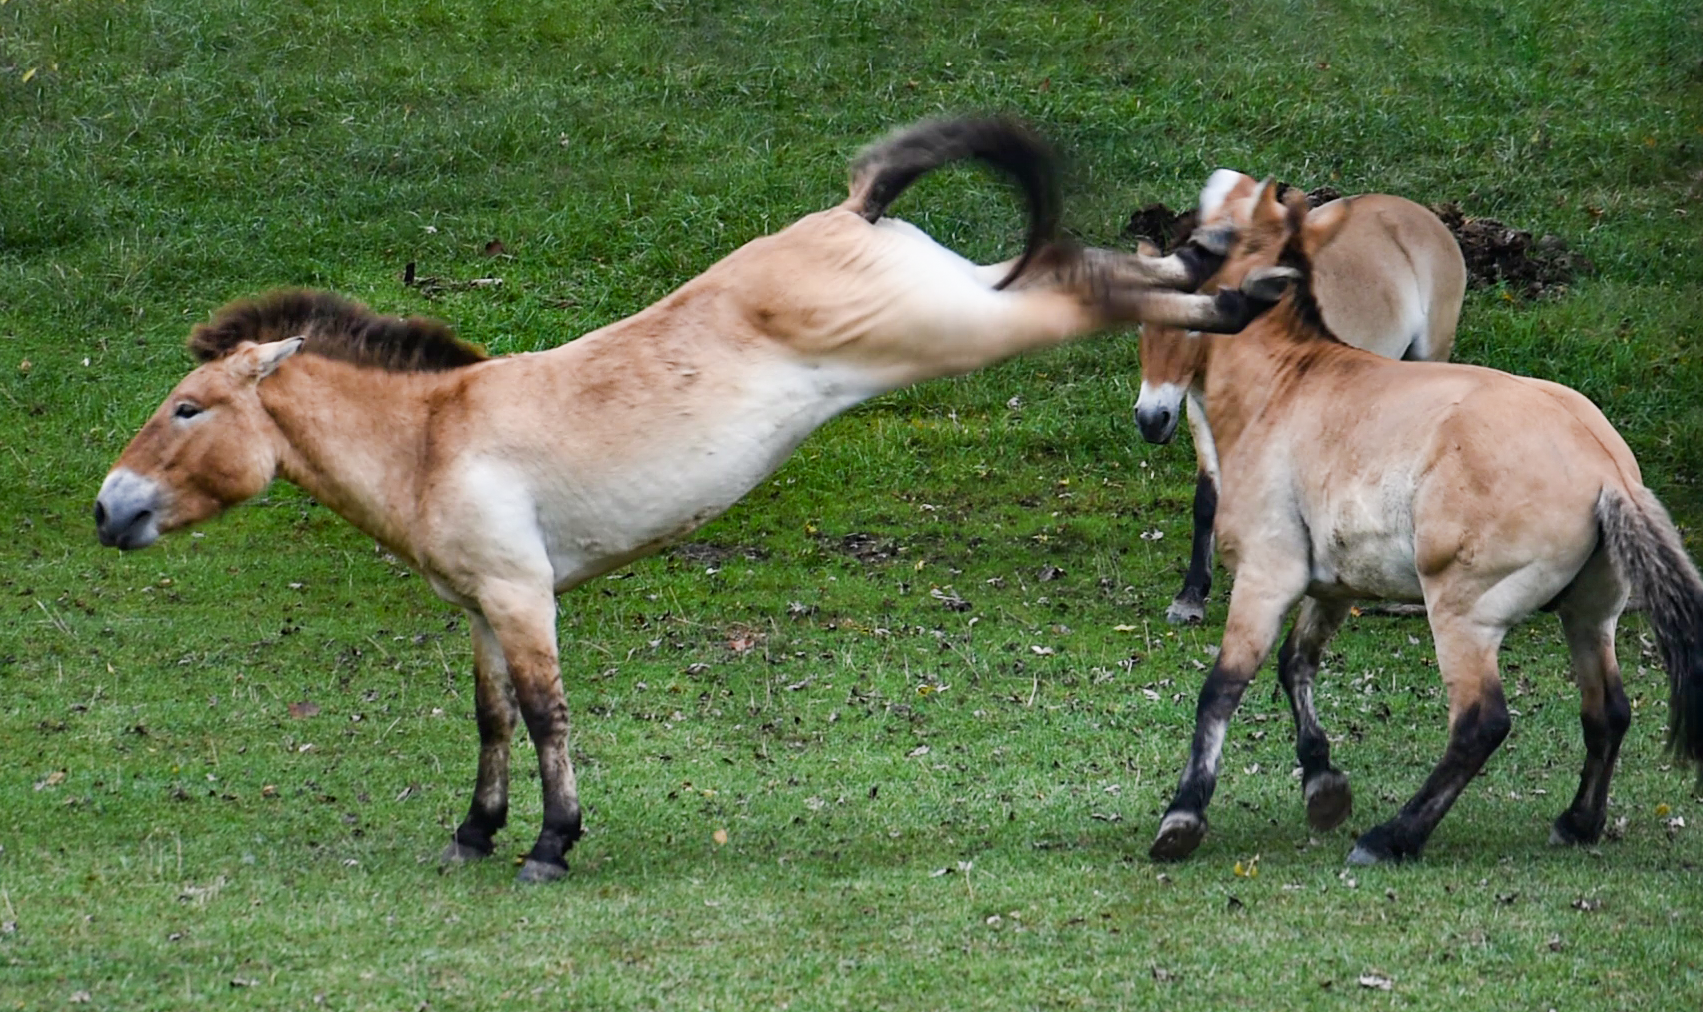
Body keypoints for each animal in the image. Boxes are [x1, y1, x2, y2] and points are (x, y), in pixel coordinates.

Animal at [95, 117, 1289, 883]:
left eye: (187, 408)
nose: (109, 510)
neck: (436, 437)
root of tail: (850, 212)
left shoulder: (524, 599)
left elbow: (545, 714)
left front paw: (549, 845)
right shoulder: (482, 607)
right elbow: (491, 717)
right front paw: (475, 833)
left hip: (955, 326)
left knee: (1085, 287)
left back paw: (1245, 291)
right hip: (967, 298)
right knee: (1098, 266)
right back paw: (1234, 270)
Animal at [1134, 168, 1466, 625]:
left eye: (1194, 324)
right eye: (1139, 325)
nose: (1150, 420)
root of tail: (1421, 215)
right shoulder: (1199, 410)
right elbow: (1207, 499)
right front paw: (1190, 597)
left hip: (1428, 356)